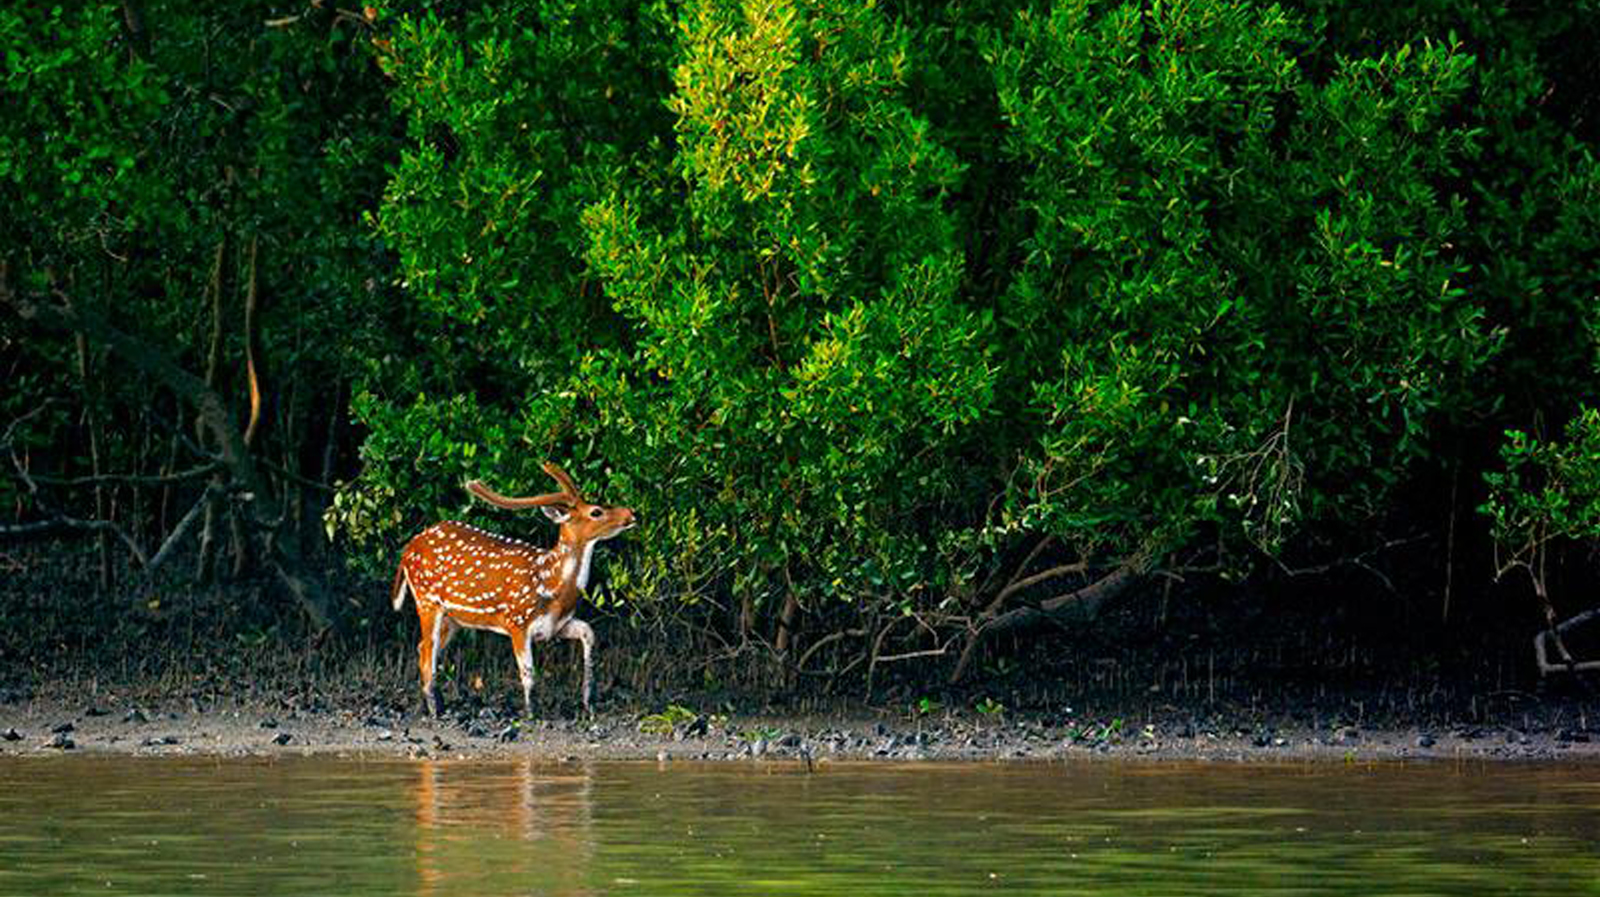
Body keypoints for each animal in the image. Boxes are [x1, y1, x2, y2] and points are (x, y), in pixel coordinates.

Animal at [390, 463, 633, 716]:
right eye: (596, 511)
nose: (631, 513)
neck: (552, 585)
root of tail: (408, 549)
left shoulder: (556, 625)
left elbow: (589, 633)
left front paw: (588, 700)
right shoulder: (517, 622)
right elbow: (528, 674)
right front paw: (532, 713)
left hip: (454, 618)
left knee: (423, 649)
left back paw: (439, 704)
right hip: (427, 600)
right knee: (428, 651)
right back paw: (435, 710)